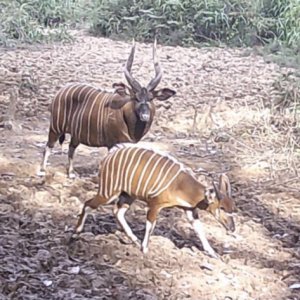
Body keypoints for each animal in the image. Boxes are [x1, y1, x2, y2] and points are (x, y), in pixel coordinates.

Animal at [38, 38, 177, 177]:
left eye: (151, 98)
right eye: (136, 98)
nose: (145, 115)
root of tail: (59, 92)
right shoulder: (112, 143)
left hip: (75, 134)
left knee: (71, 147)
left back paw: (71, 173)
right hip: (55, 128)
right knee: (48, 146)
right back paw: (42, 170)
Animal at [74, 144, 234, 256]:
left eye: (233, 208)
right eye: (222, 208)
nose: (232, 228)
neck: (181, 185)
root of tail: (106, 158)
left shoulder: (189, 209)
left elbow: (199, 229)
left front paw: (212, 253)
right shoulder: (154, 204)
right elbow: (150, 225)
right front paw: (145, 249)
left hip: (128, 195)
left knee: (117, 212)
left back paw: (134, 239)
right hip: (109, 193)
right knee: (88, 204)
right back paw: (76, 233)